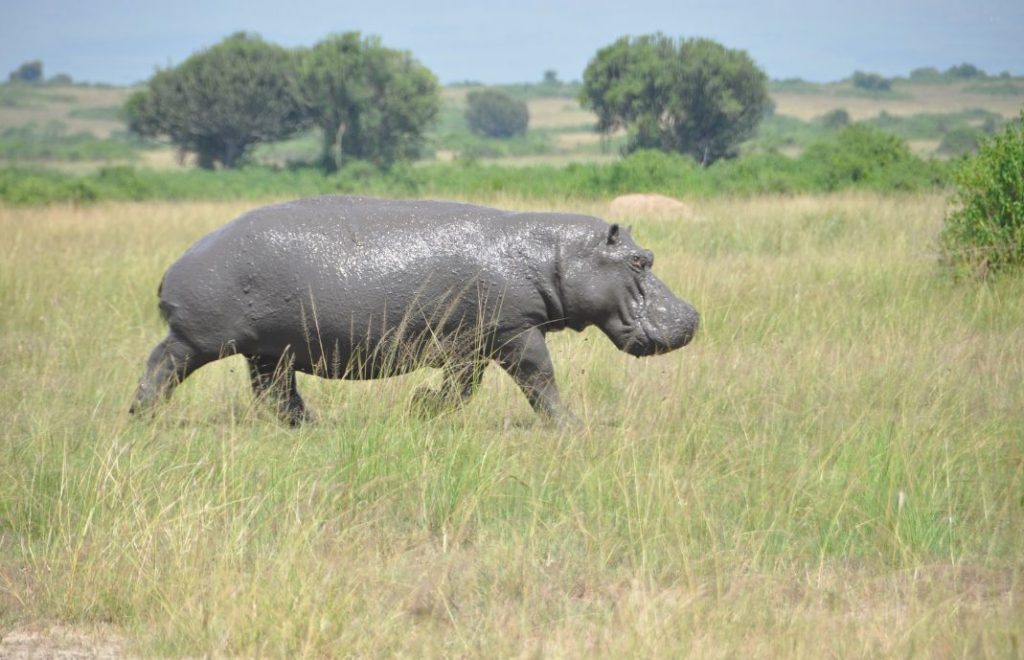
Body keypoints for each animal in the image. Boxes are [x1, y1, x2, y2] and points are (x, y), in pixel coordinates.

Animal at [132, 194, 700, 421]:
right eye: (640, 260)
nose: (692, 317)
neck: (552, 255)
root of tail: (175, 265)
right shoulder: (514, 331)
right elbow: (540, 378)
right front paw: (570, 425)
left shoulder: (472, 344)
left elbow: (461, 389)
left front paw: (421, 407)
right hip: (199, 340)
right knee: (160, 367)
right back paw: (142, 417)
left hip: (268, 350)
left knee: (275, 394)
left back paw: (311, 426)